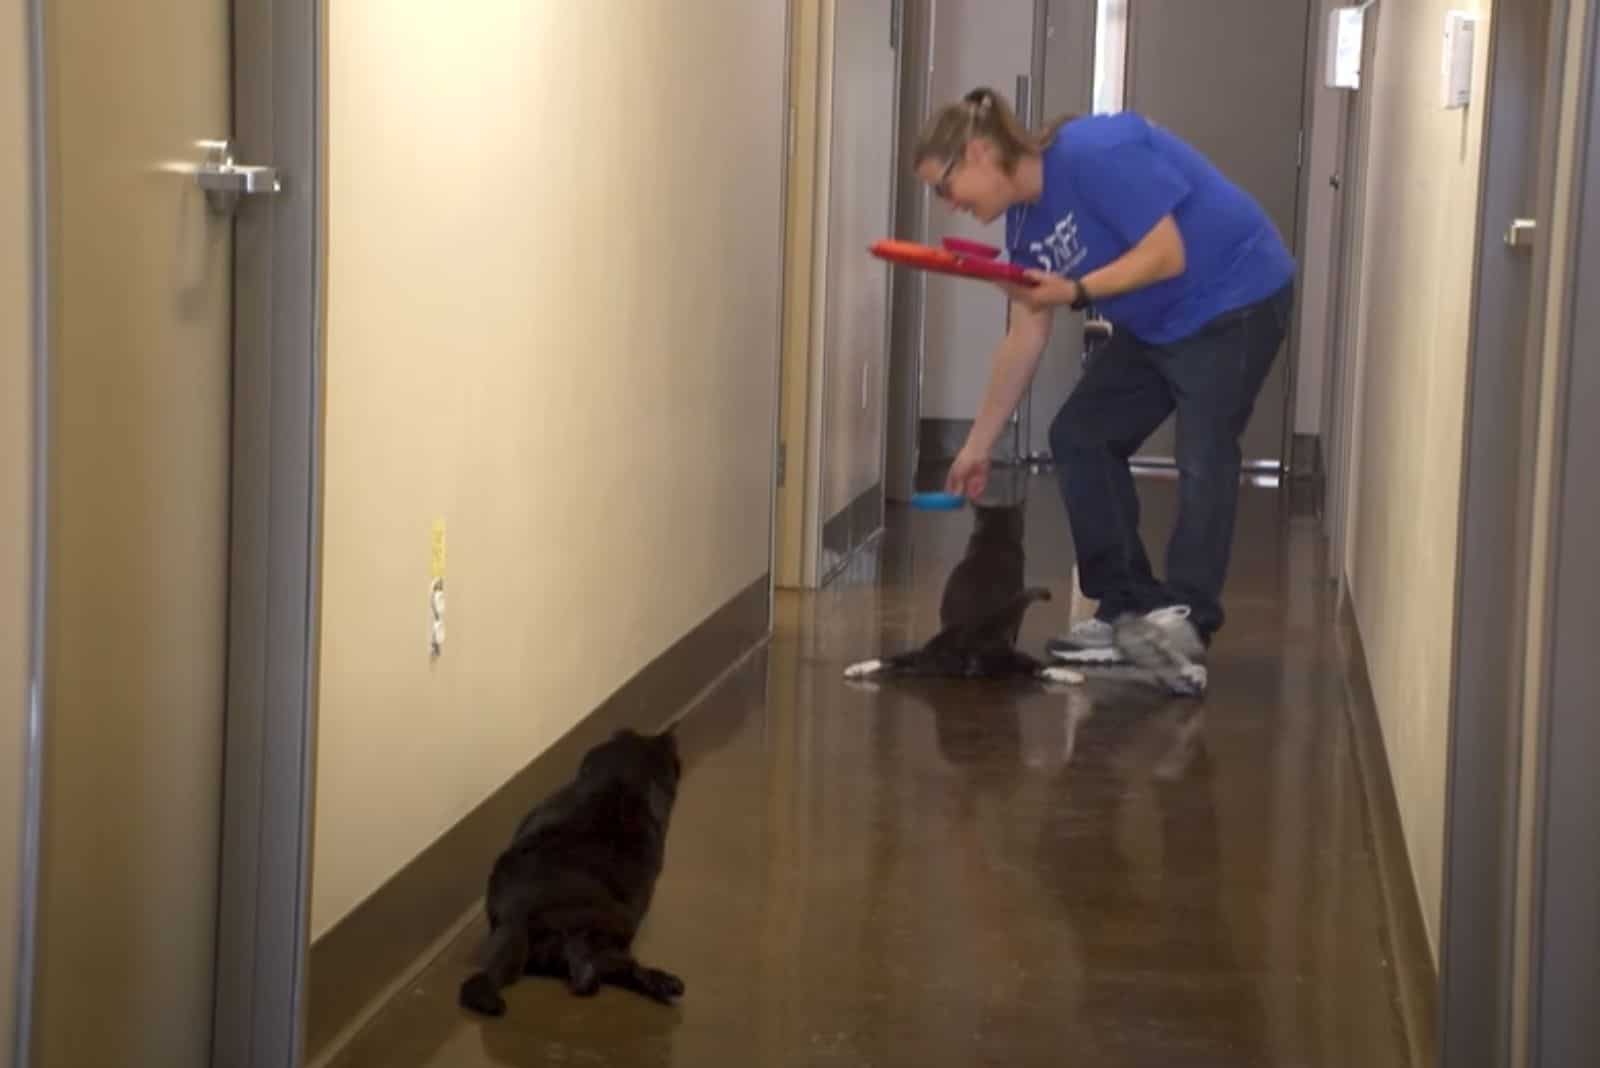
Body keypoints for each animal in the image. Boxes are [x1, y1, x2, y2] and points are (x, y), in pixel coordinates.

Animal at [844, 498, 1081, 684]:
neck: (993, 539)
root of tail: (970, 635)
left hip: (929, 654)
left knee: (896, 659)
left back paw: (856, 668)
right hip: (1004, 652)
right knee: (1035, 666)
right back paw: (1073, 676)